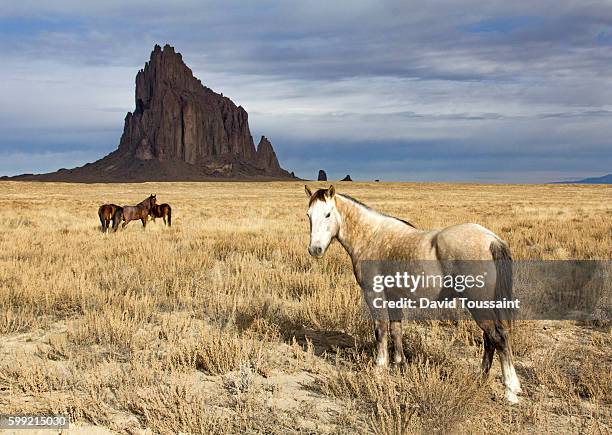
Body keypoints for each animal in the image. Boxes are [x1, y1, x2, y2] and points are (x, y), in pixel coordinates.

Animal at [306, 186, 520, 404]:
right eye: (309, 215)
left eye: (328, 214)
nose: (315, 249)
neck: (372, 237)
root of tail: (491, 239)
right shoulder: (394, 297)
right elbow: (396, 330)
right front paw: (398, 363)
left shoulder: (374, 294)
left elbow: (380, 330)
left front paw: (379, 368)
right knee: (490, 339)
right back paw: (481, 379)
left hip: (478, 304)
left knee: (498, 337)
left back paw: (510, 391)